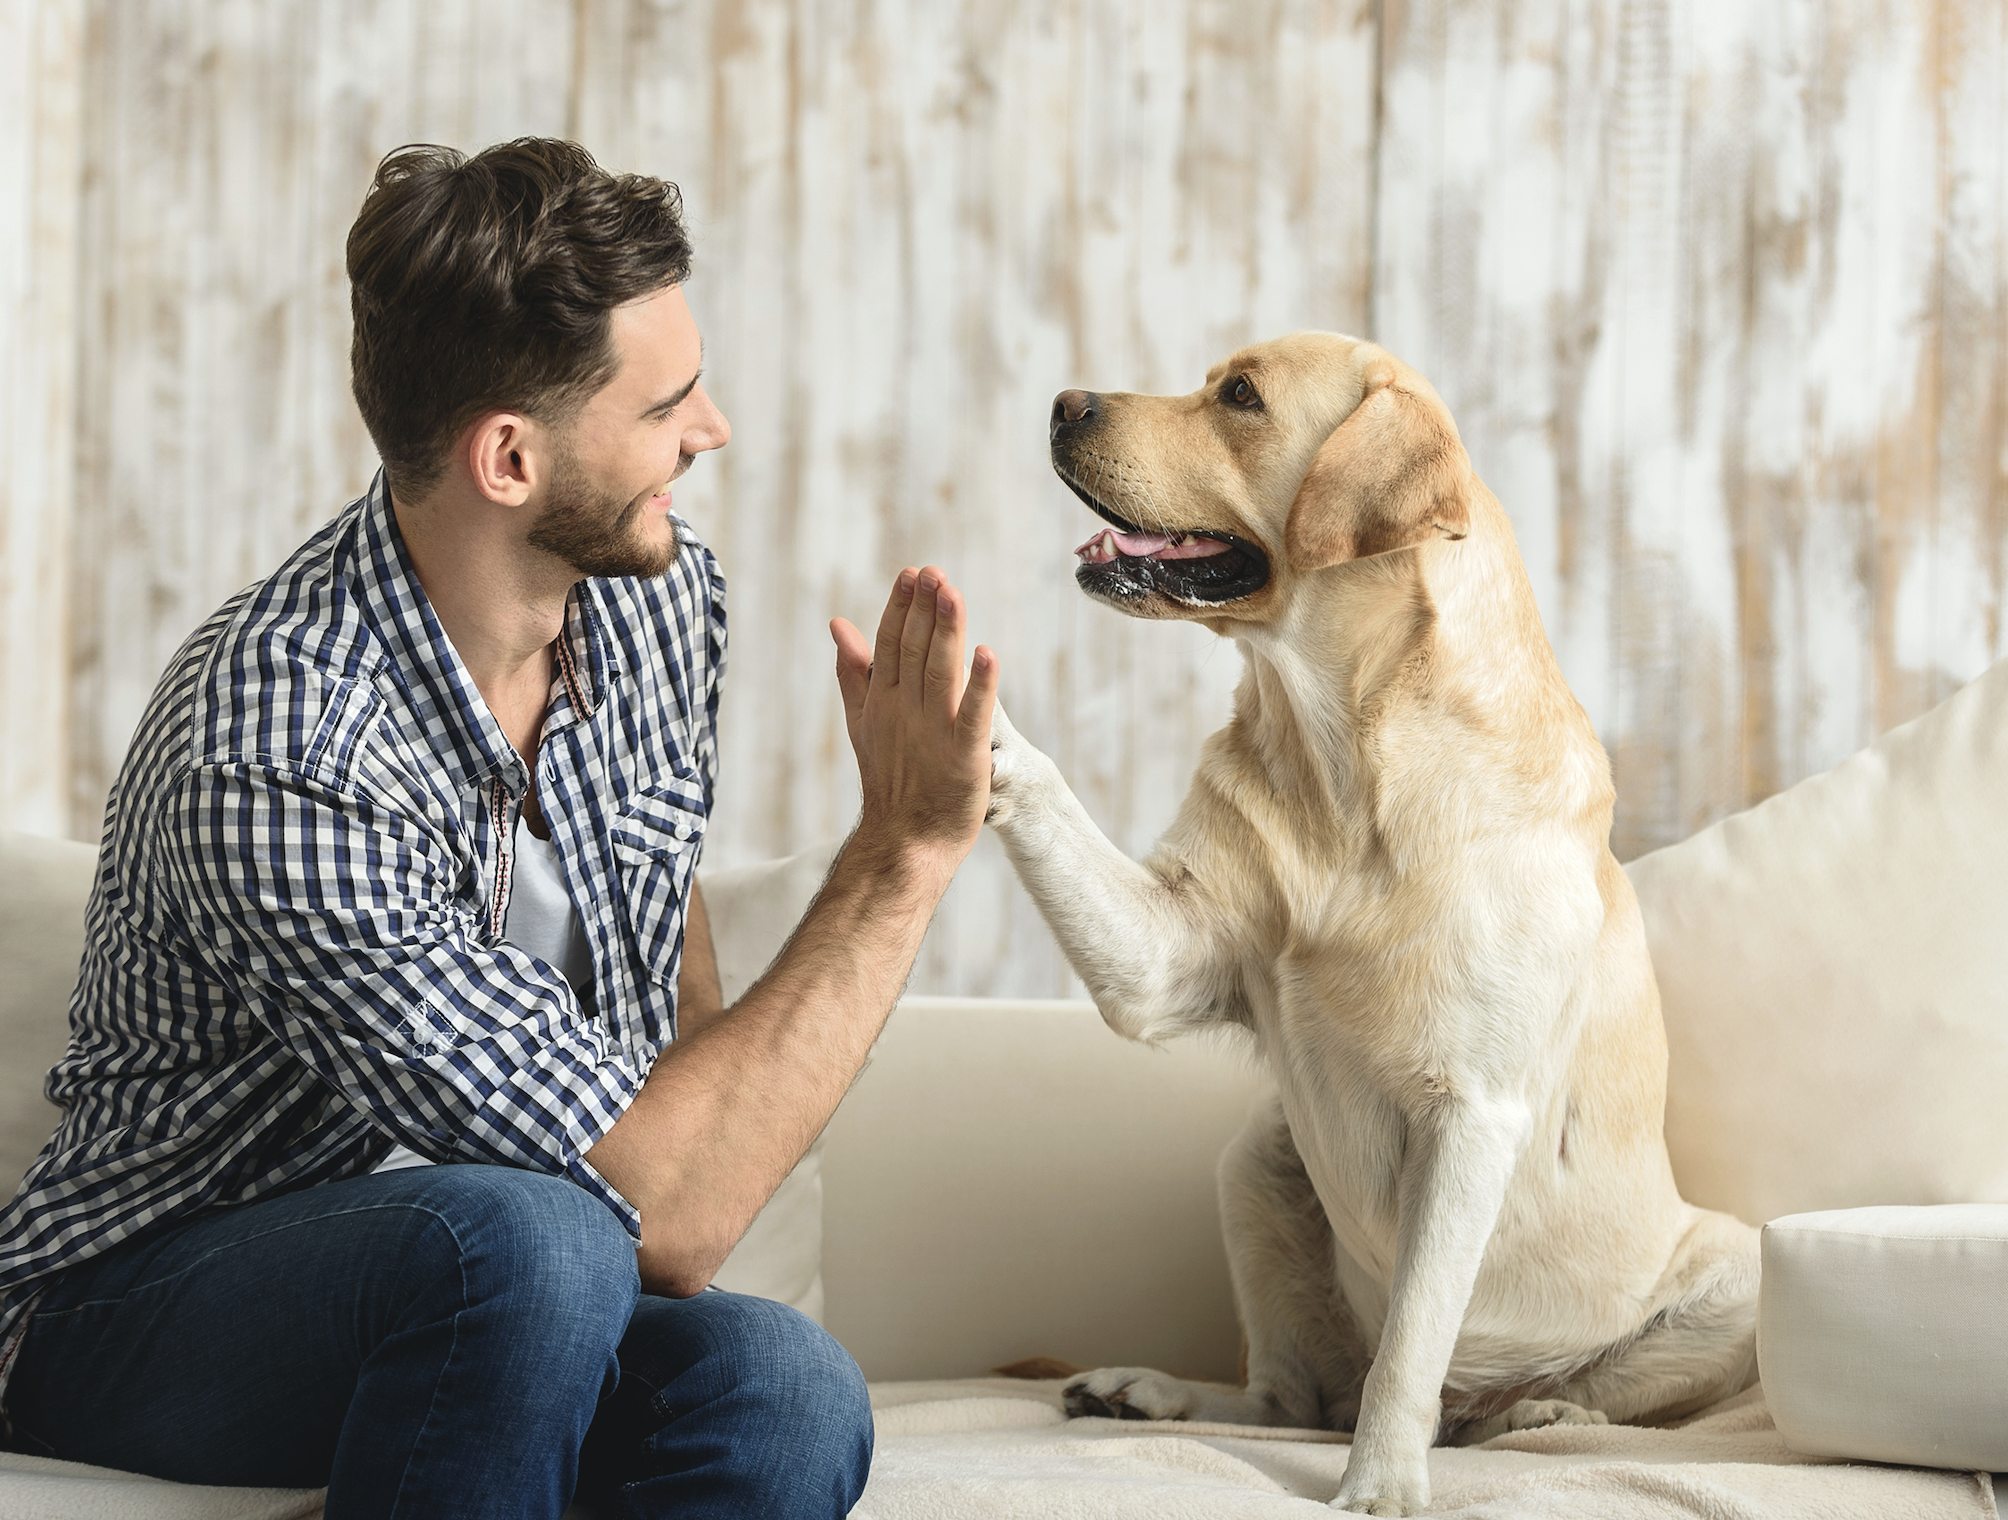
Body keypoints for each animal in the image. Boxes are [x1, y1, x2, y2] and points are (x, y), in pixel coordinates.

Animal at [983, 335, 1759, 1517]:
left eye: (1241, 396)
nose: (1065, 402)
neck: (1344, 756)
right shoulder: (1162, 956)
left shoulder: (1471, 1115)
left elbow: (1412, 1342)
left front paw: (1383, 1483)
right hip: (1257, 1161)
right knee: (1288, 1397)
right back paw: (1147, 1391)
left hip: (1736, 1272)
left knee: (1537, 1396)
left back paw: (1533, 1411)